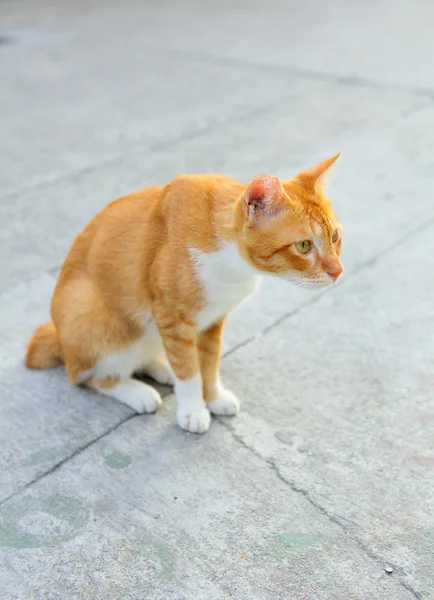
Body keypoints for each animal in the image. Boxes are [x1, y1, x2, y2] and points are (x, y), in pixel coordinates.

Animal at [26, 155, 342, 434]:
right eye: (303, 246)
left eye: (335, 236)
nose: (338, 271)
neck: (233, 265)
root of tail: (59, 337)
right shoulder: (171, 318)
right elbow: (189, 371)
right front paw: (192, 410)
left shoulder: (213, 320)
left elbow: (209, 363)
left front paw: (213, 397)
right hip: (94, 317)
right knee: (89, 376)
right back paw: (137, 391)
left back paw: (160, 366)